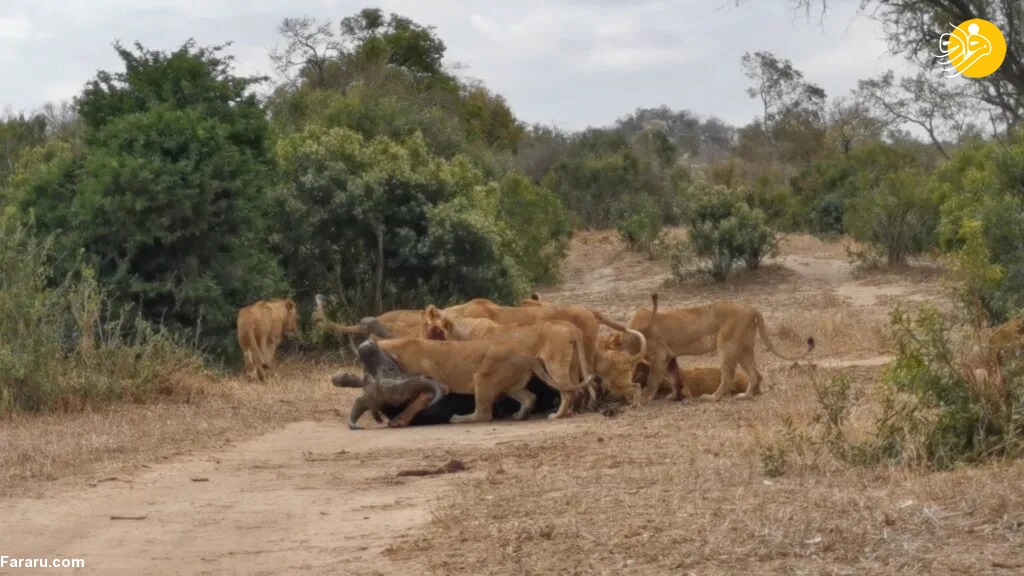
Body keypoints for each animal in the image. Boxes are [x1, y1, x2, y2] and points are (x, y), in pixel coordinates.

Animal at [360, 336, 589, 422]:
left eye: (386, 367)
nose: (365, 346)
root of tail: (528, 355)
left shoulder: (438, 383)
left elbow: (416, 403)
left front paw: (399, 420)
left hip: (481, 377)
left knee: (484, 415)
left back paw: (459, 418)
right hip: (509, 385)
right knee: (529, 397)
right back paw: (519, 415)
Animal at [415, 305, 606, 416]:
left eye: (436, 333)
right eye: (424, 328)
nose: (422, 346)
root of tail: (572, 328)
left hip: (555, 365)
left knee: (568, 391)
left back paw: (557, 415)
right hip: (573, 365)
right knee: (578, 388)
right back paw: (572, 411)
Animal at [606, 291, 815, 403]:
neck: (631, 335)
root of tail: (752, 308)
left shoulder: (660, 355)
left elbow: (653, 380)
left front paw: (643, 399)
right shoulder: (670, 355)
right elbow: (674, 377)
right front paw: (673, 396)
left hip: (727, 346)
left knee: (728, 376)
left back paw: (713, 398)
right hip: (743, 348)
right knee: (756, 374)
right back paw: (747, 395)